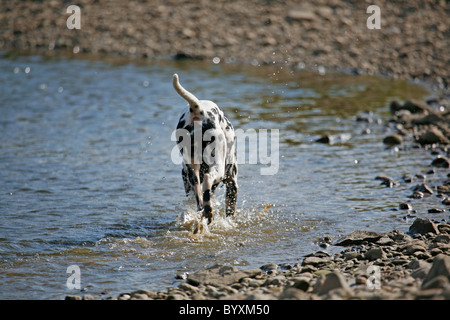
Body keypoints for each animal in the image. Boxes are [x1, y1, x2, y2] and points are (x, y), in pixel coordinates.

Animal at [172, 74, 237, 224]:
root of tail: (197, 108)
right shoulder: (232, 183)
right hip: (217, 169)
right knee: (207, 181)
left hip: (193, 173)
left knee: (201, 200)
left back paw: (207, 212)